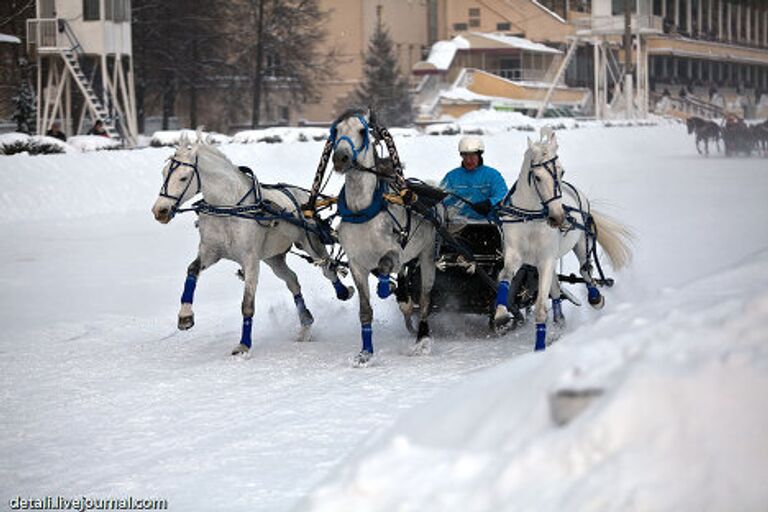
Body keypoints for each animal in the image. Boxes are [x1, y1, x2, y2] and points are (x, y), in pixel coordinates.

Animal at [151, 133, 354, 356]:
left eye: (183, 178)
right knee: (292, 280)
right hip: (273, 257)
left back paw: (343, 292)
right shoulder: (210, 251)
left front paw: (243, 344)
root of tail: (305, 200)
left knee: (327, 268)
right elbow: (192, 270)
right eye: (163, 173)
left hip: (311, 242)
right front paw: (185, 317)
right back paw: (305, 323)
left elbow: (247, 304)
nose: (160, 211)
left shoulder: (250, 260)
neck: (228, 207)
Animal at [328, 109, 438, 364]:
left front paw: (385, 287)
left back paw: (422, 339)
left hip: (427, 256)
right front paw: (365, 353)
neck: (362, 211)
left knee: (425, 300)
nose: (341, 158)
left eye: (361, 131)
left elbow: (387, 264)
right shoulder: (357, 264)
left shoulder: (395, 250)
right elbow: (365, 311)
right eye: (336, 130)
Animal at [496, 130, 632, 350]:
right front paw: (500, 315)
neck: (530, 217)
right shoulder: (515, 254)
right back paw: (559, 319)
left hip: (581, 242)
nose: (557, 217)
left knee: (585, 270)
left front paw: (540, 348)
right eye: (537, 177)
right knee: (555, 287)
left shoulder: (546, 259)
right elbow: (505, 276)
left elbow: (541, 308)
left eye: (562, 172)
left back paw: (595, 298)